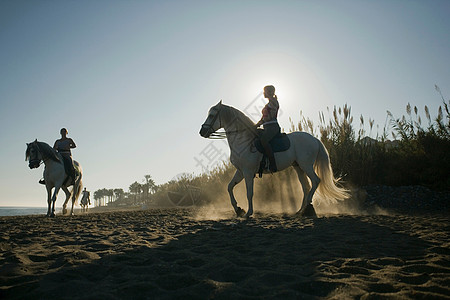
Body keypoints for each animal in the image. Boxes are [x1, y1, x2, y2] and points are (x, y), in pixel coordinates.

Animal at [199, 101, 350, 218]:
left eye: (212, 115)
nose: (202, 132)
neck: (244, 141)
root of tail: (314, 139)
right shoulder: (241, 171)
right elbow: (229, 187)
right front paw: (238, 210)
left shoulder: (248, 172)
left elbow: (249, 193)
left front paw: (248, 213)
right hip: (298, 167)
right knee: (305, 186)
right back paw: (300, 210)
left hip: (306, 165)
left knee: (315, 181)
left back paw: (307, 207)